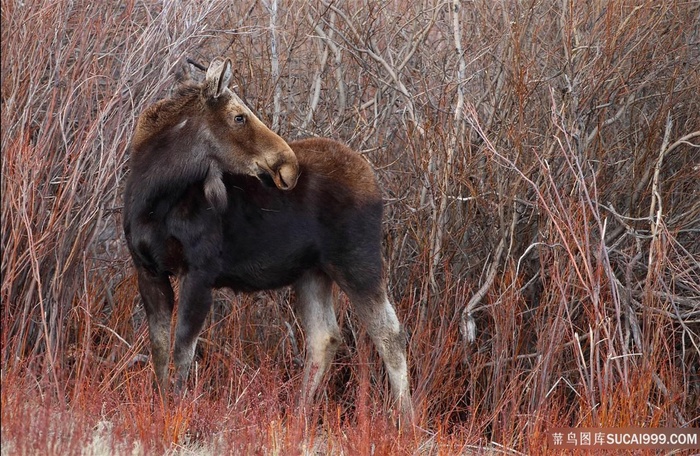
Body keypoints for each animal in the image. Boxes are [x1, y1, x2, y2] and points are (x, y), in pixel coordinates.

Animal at [123, 58, 412, 420]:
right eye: (239, 116)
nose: (288, 165)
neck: (152, 199)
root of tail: (374, 181)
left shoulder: (200, 272)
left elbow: (182, 351)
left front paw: (175, 413)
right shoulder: (147, 270)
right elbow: (160, 351)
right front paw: (161, 408)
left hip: (358, 262)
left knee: (390, 334)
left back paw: (407, 421)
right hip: (312, 272)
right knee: (325, 336)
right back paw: (299, 417)